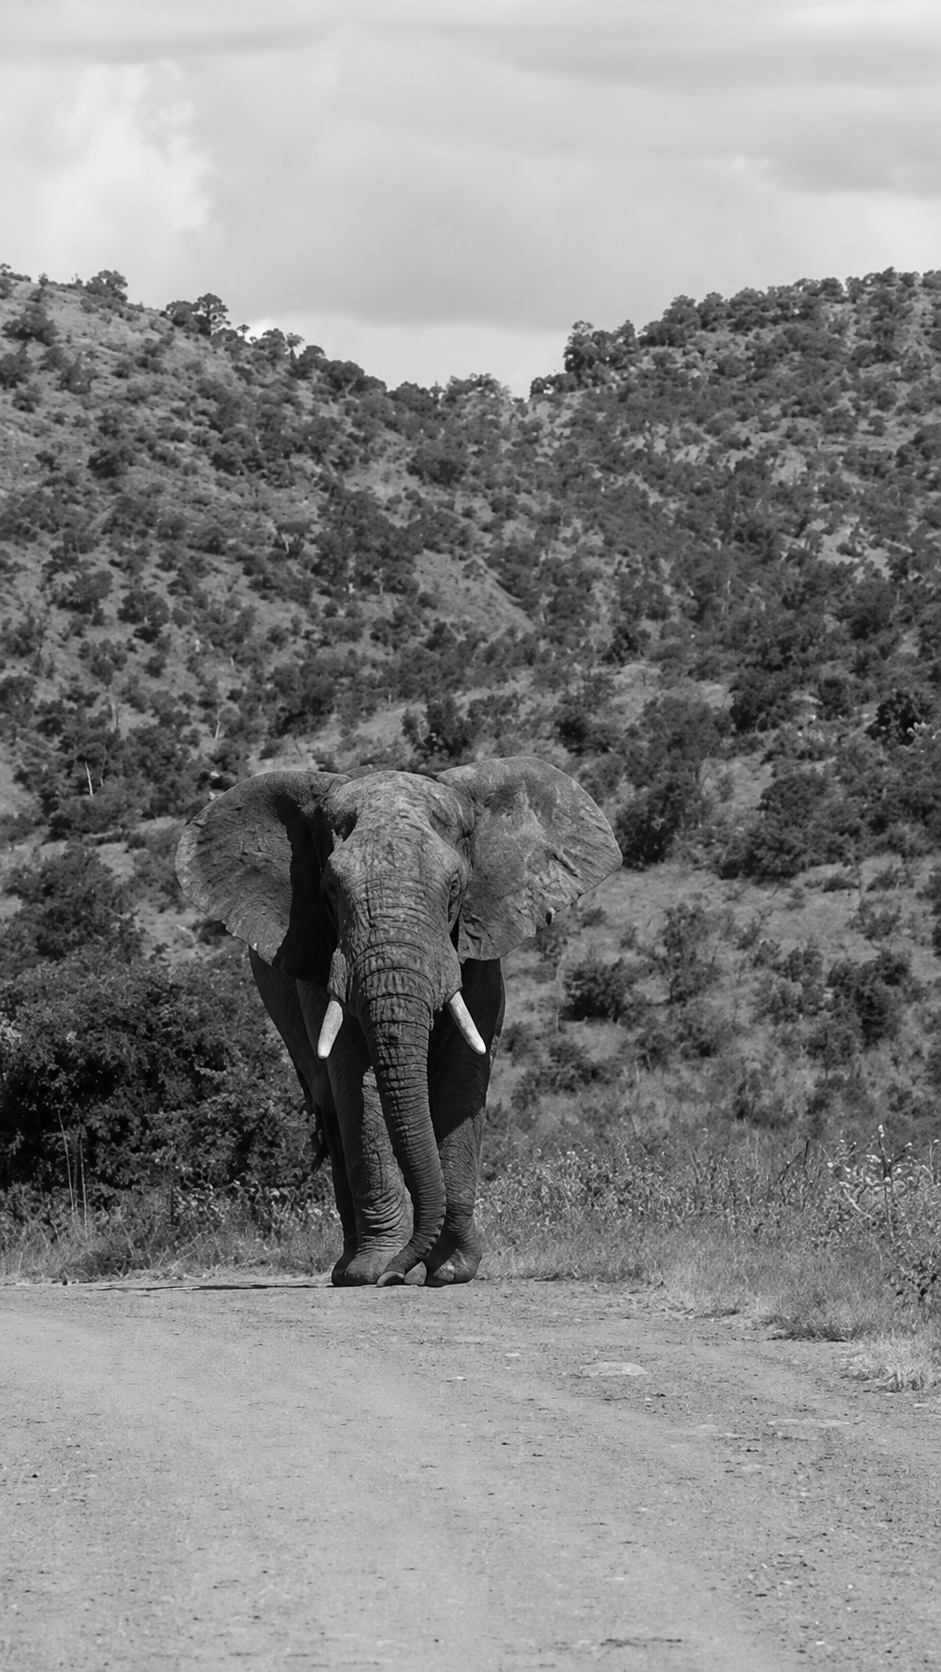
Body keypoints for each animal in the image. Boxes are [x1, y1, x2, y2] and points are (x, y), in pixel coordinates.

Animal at [175, 757, 621, 1287]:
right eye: (329, 892)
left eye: (455, 888)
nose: (396, 1275)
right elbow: (358, 1086)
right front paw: (373, 1272)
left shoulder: (477, 954)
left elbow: (461, 1078)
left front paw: (450, 1271)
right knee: (331, 1108)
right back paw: (347, 1267)